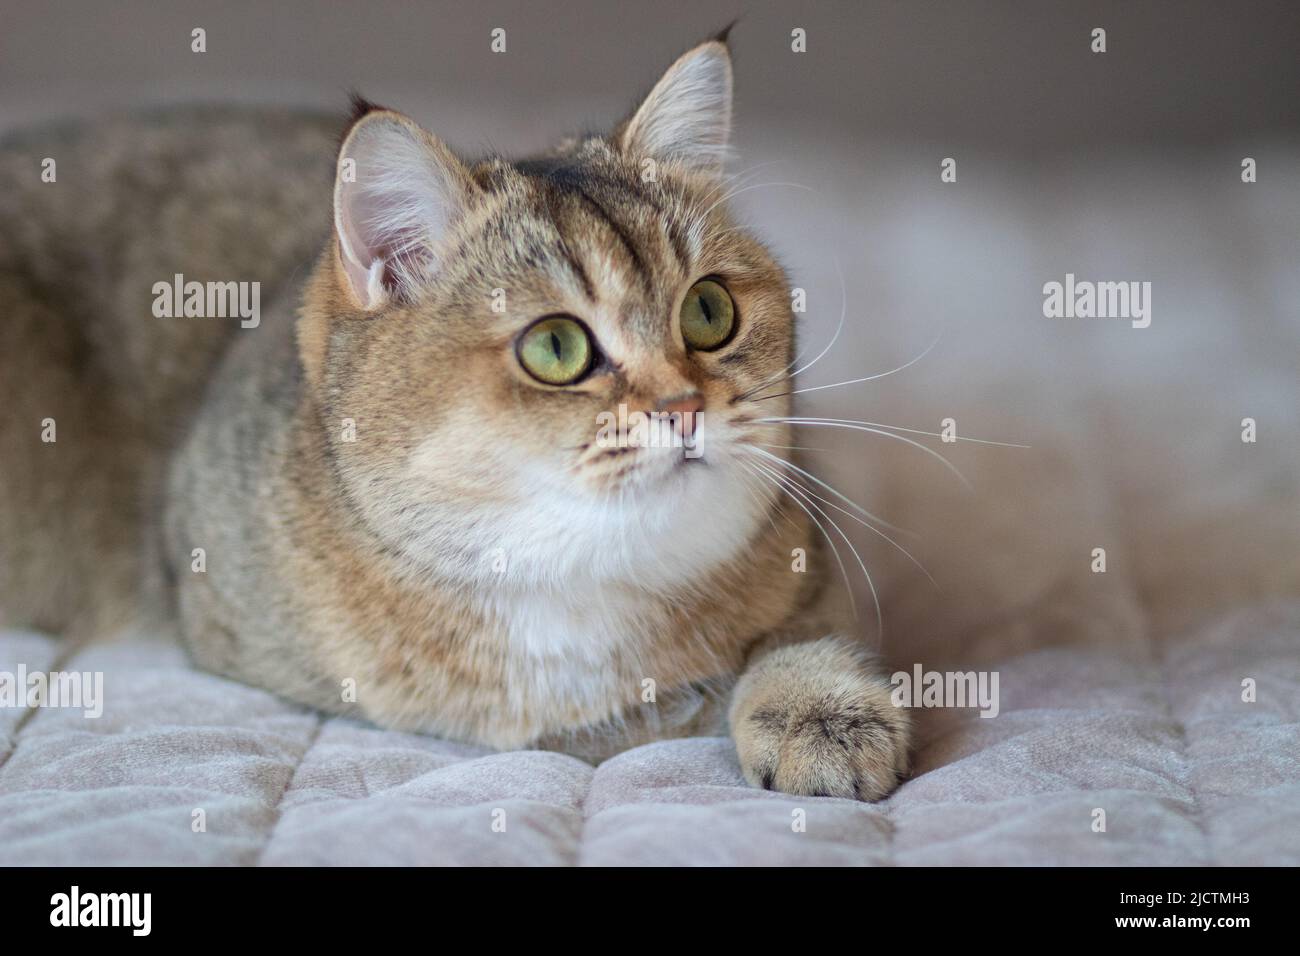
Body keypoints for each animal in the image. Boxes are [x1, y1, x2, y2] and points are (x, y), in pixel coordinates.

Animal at [0, 31, 909, 801]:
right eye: (555, 348)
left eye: (710, 311)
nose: (685, 408)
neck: (569, 577)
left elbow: (803, 626)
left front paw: (815, 702)